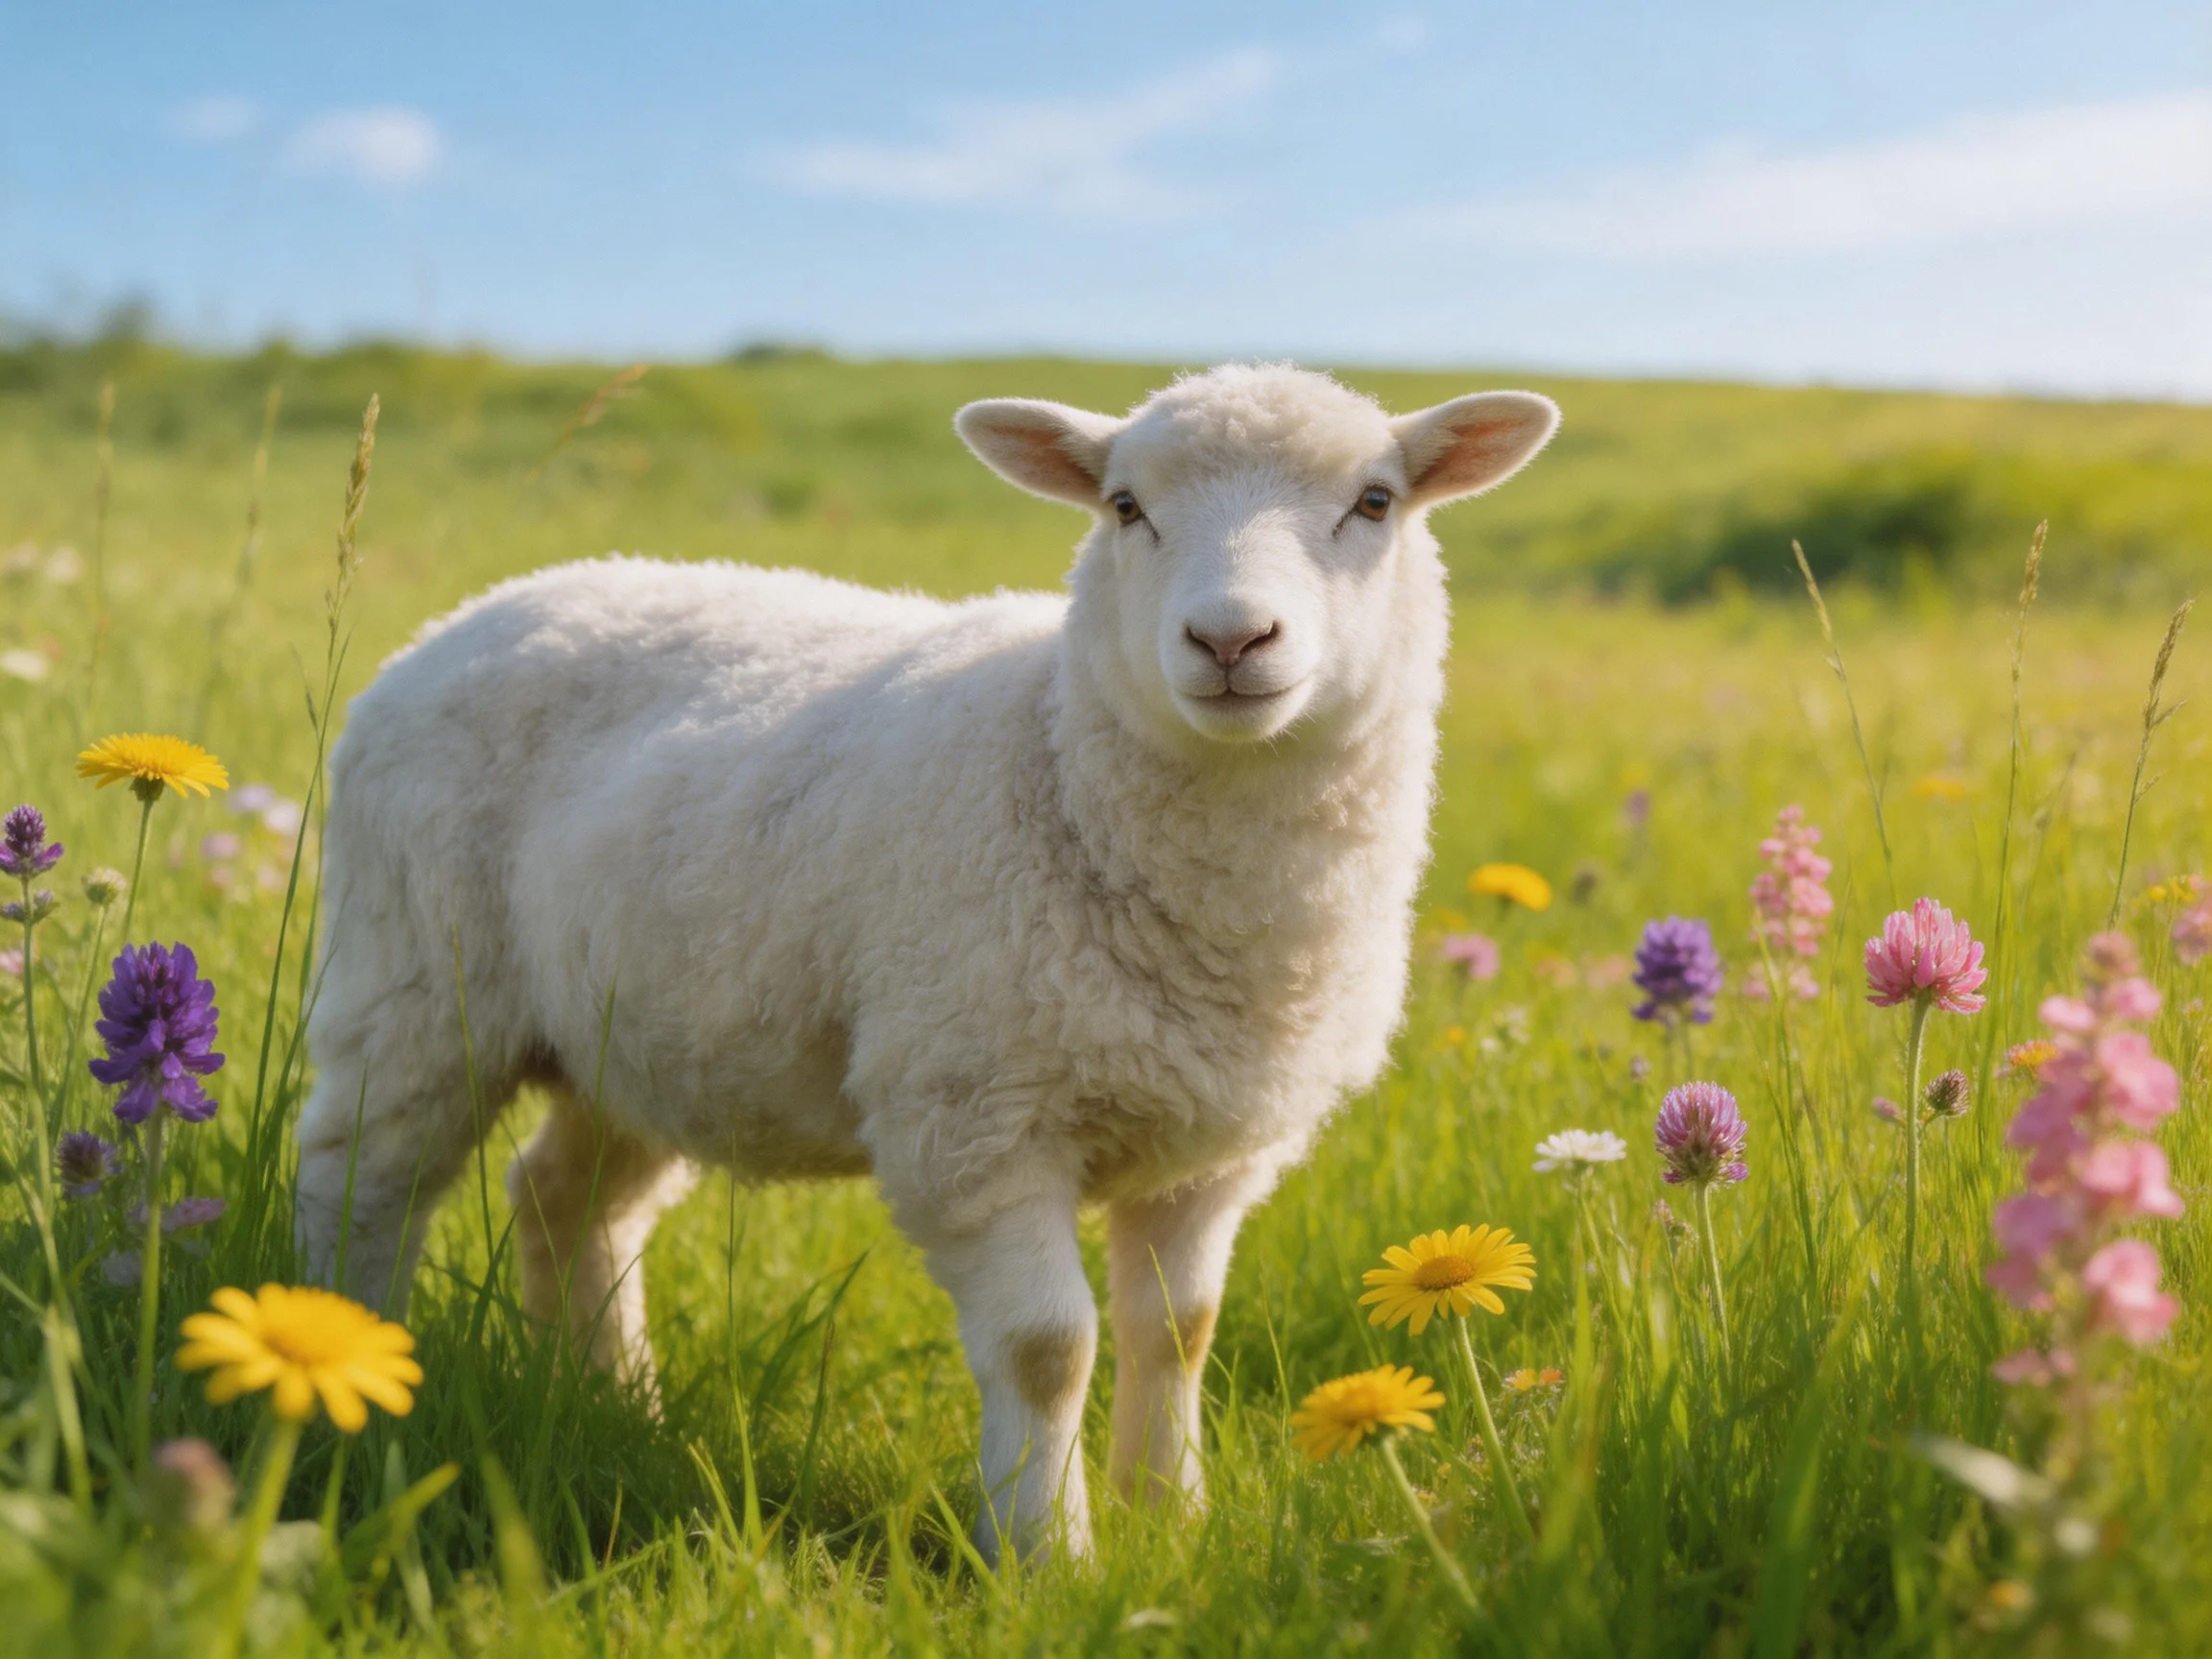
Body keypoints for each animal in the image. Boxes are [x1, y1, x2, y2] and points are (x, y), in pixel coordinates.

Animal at [293, 363, 1559, 1563]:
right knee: (362, 1178)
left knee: (565, 1200)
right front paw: (1049, 1557)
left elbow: (1178, 1333)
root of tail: (485, 609)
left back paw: (612, 1403)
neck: (1057, 755)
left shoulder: (1209, 1149)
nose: (1231, 642)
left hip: (636, 1034)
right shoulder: (976, 1115)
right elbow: (1050, 1349)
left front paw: (1171, 1523)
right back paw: (346, 1370)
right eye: (1126, 506)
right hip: (413, 976)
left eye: (1375, 502)